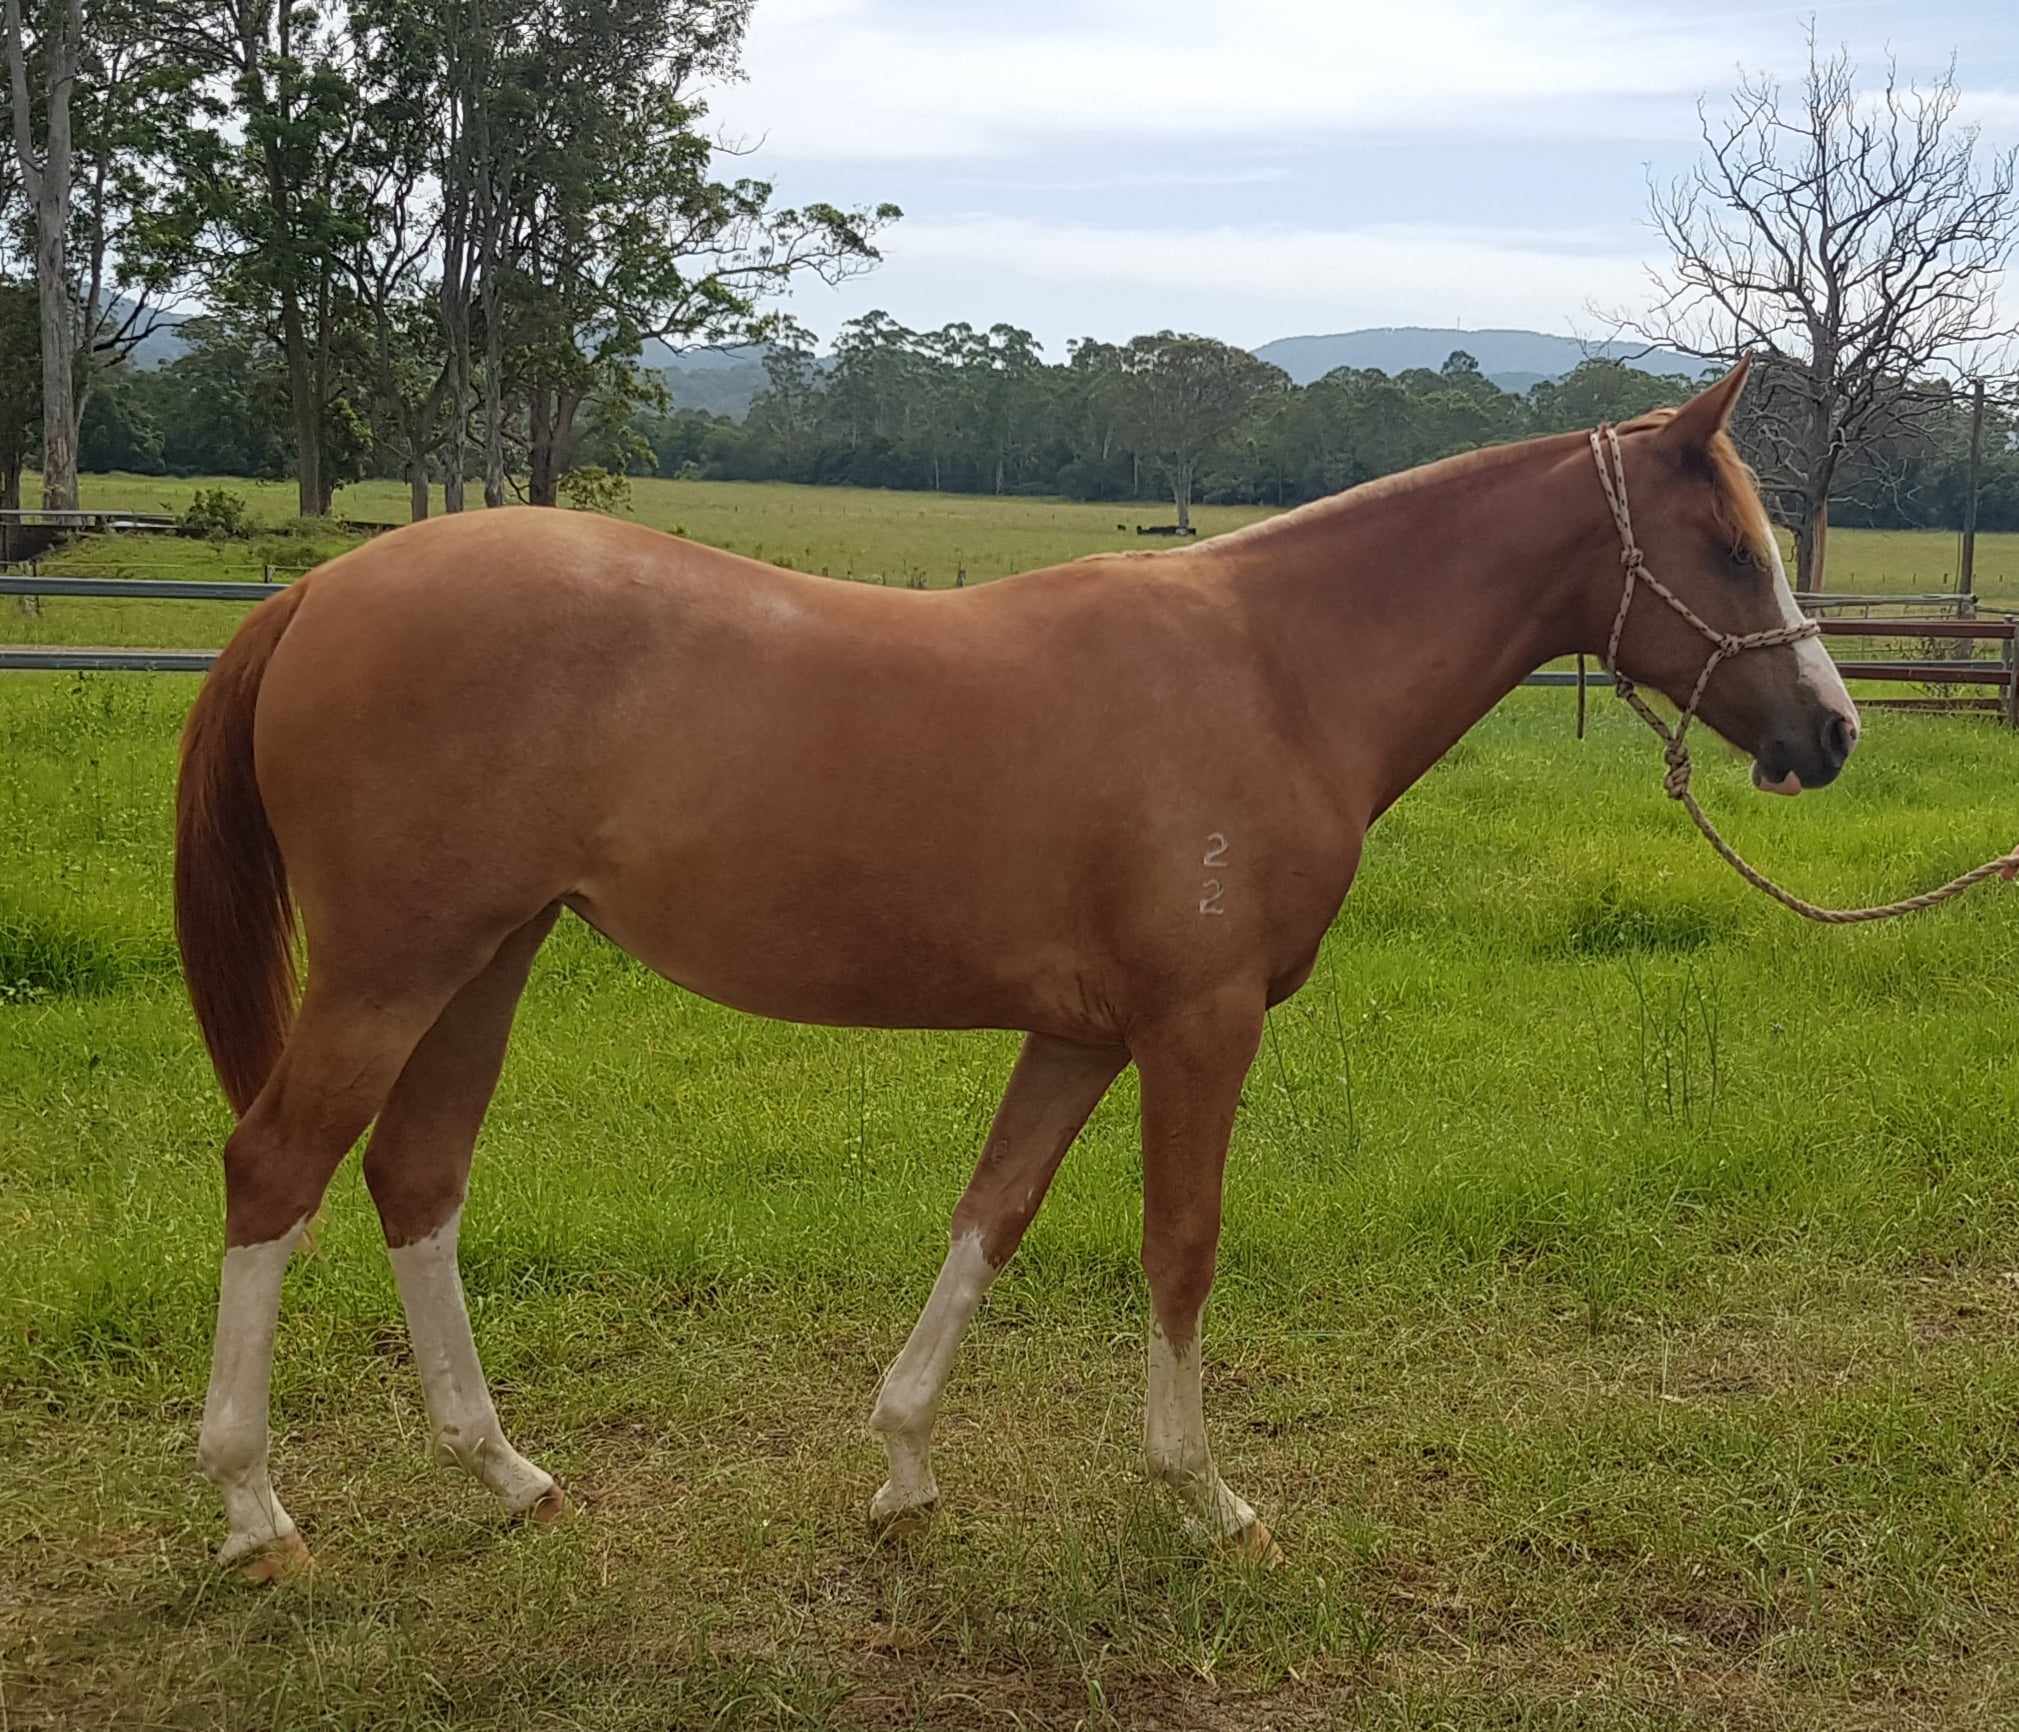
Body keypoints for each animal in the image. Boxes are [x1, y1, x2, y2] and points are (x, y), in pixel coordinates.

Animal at [177, 360, 1857, 1579]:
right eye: (1726, 546)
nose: (1827, 732)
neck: (1270, 666)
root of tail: (318, 592)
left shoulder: (1081, 1035)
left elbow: (989, 1218)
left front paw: (903, 1466)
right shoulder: (1198, 1026)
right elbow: (1179, 1246)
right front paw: (1203, 1498)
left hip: (487, 959)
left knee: (416, 1180)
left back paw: (508, 1476)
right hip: (396, 966)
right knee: (274, 1171)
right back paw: (257, 1516)